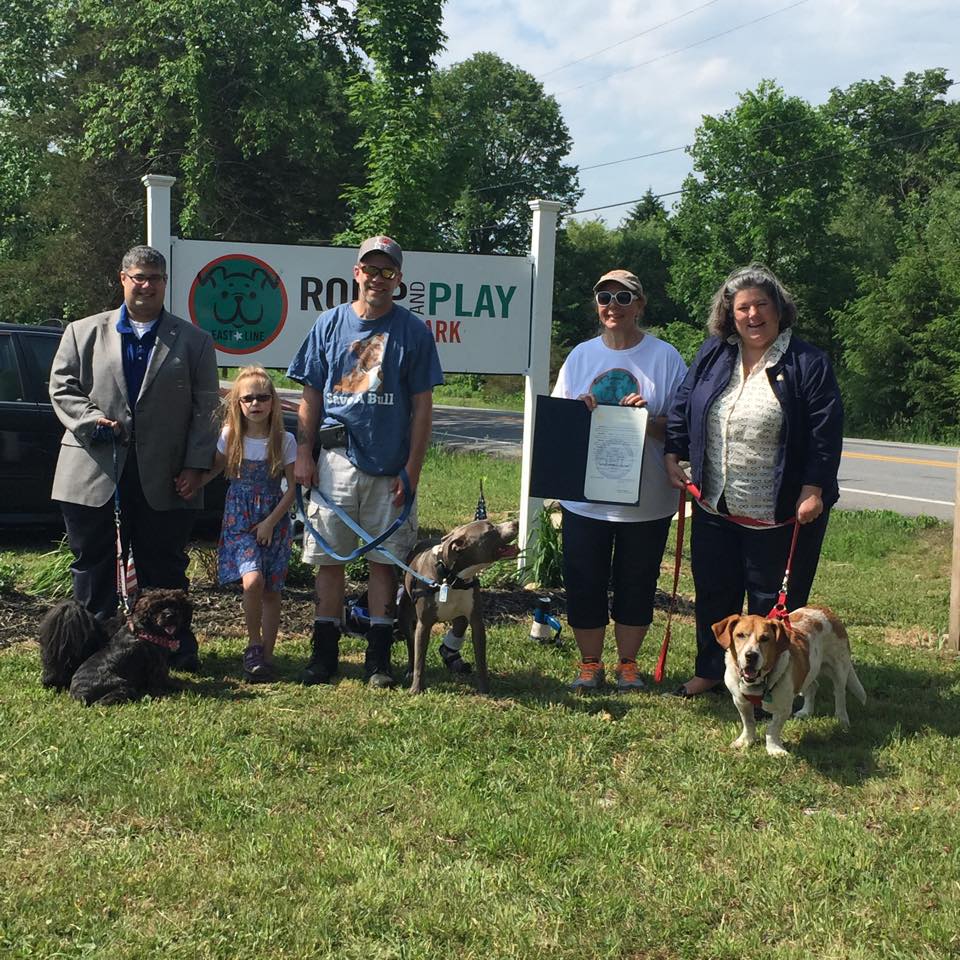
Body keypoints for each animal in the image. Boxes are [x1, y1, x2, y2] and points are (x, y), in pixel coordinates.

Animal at [38, 584, 192, 704]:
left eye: (175, 605)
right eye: (157, 607)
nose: (170, 615)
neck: (147, 630)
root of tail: (78, 696)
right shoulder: (158, 670)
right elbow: (166, 683)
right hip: (124, 685)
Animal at [396, 520, 520, 692]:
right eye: (490, 528)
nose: (516, 522)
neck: (452, 577)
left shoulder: (476, 622)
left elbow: (481, 660)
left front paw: (484, 689)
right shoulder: (424, 624)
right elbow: (419, 659)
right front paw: (416, 689)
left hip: (460, 617)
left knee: (458, 627)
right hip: (405, 615)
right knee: (410, 643)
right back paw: (409, 671)